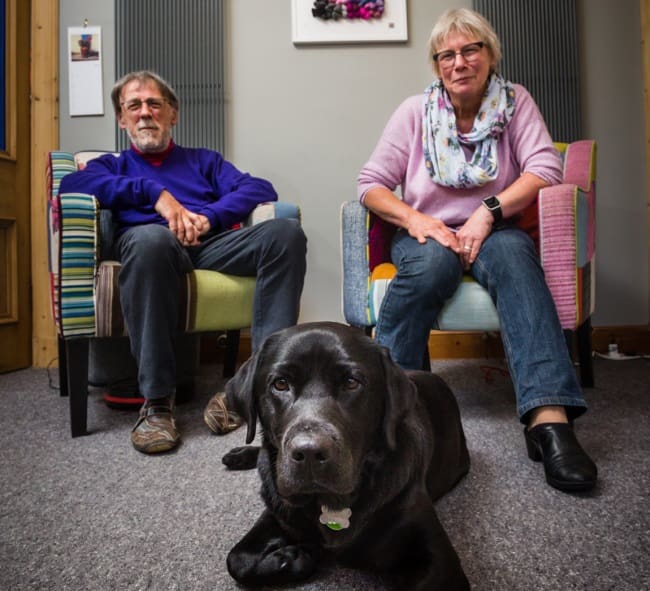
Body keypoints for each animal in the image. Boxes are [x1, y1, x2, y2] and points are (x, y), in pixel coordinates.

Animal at [220, 324, 468, 591]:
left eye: (351, 383)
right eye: (281, 384)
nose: (309, 452)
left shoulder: (442, 563)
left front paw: (299, 555)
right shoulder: (279, 508)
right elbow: (237, 560)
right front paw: (294, 557)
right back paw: (239, 454)